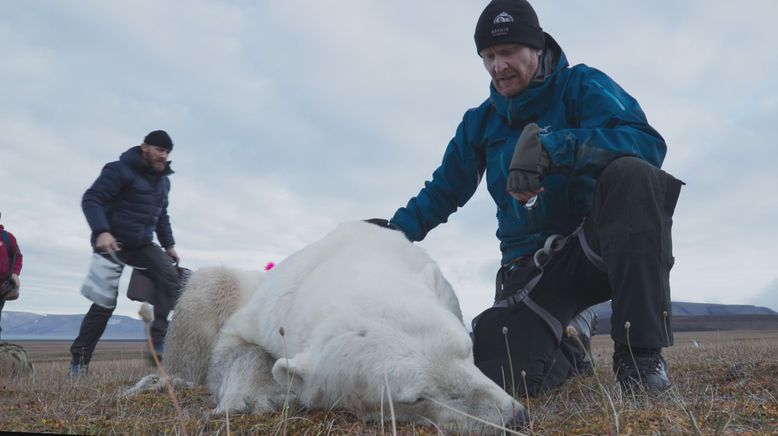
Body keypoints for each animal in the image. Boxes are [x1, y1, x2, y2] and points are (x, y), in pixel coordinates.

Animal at [158, 223, 524, 430]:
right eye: (416, 397)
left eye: (467, 350)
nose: (514, 417)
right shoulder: (265, 314)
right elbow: (234, 348)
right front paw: (250, 399)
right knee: (211, 283)